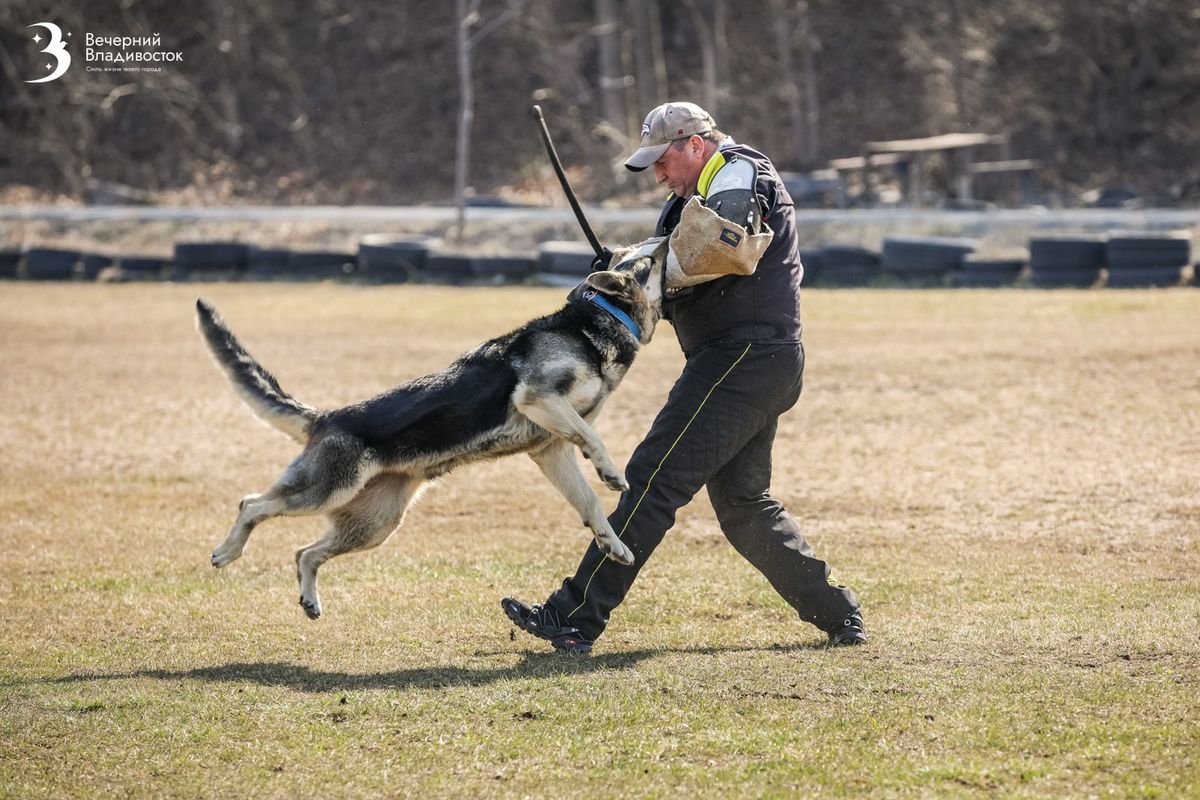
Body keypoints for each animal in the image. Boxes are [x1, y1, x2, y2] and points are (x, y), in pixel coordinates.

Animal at [195, 237, 667, 618]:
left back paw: (309, 599)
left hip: (376, 524)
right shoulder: (538, 400)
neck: (597, 321)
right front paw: (611, 473)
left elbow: (589, 505)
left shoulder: (550, 449)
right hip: (325, 491)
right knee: (252, 504)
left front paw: (613, 543)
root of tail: (326, 417)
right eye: (649, 259)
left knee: (304, 553)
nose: (668, 232)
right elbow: (593, 439)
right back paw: (227, 552)